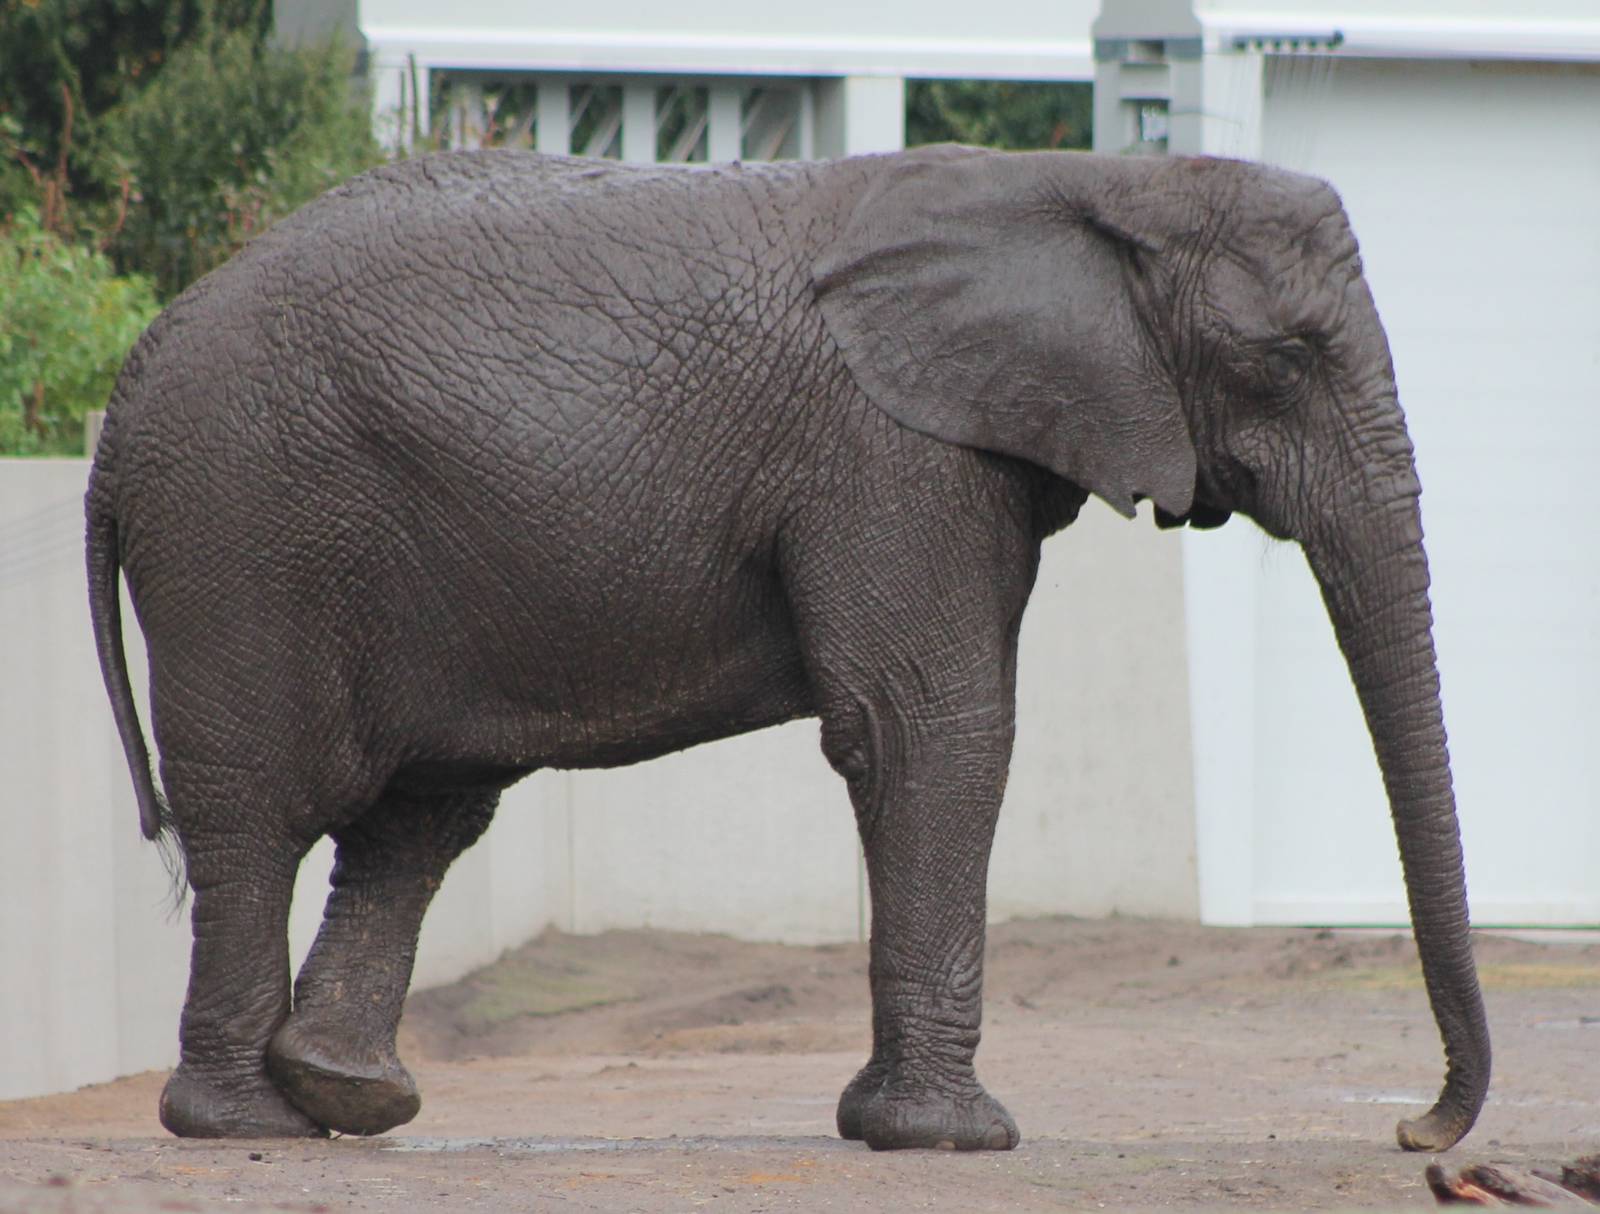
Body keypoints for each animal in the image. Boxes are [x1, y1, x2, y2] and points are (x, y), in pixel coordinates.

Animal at [86, 144, 1489, 1151]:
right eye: (1286, 357)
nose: (1419, 1130)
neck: (1088, 182)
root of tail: (123, 391)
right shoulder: (892, 452)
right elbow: (935, 725)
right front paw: (949, 1138)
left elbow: (928, 728)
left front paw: (888, 1123)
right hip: (242, 527)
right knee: (264, 812)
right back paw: (246, 1121)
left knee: (421, 813)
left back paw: (346, 1097)